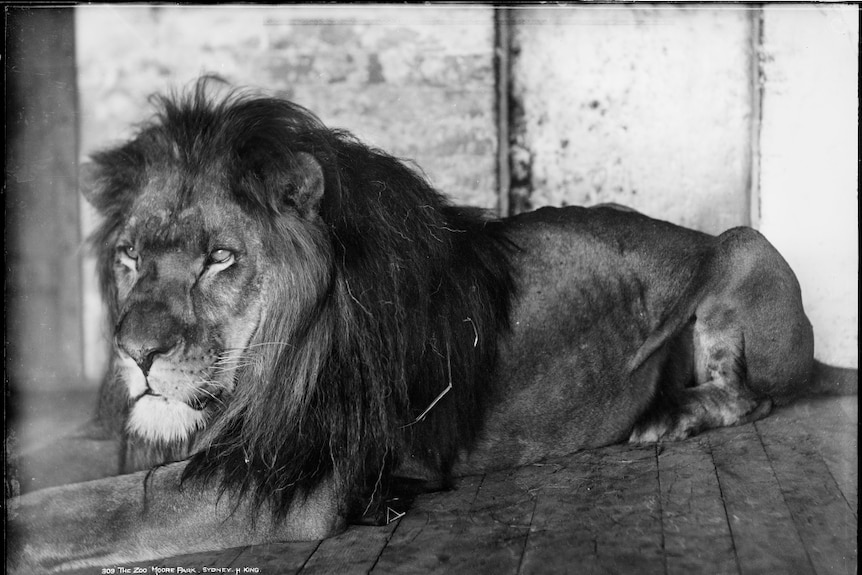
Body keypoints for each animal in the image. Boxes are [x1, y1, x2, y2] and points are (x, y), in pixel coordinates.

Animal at [8, 80, 816, 572]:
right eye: (128, 257)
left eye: (219, 258)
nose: (135, 353)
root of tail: (692, 232)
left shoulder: (291, 480)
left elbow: (100, 510)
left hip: (744, 243)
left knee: (756, 395)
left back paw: (670, 416)